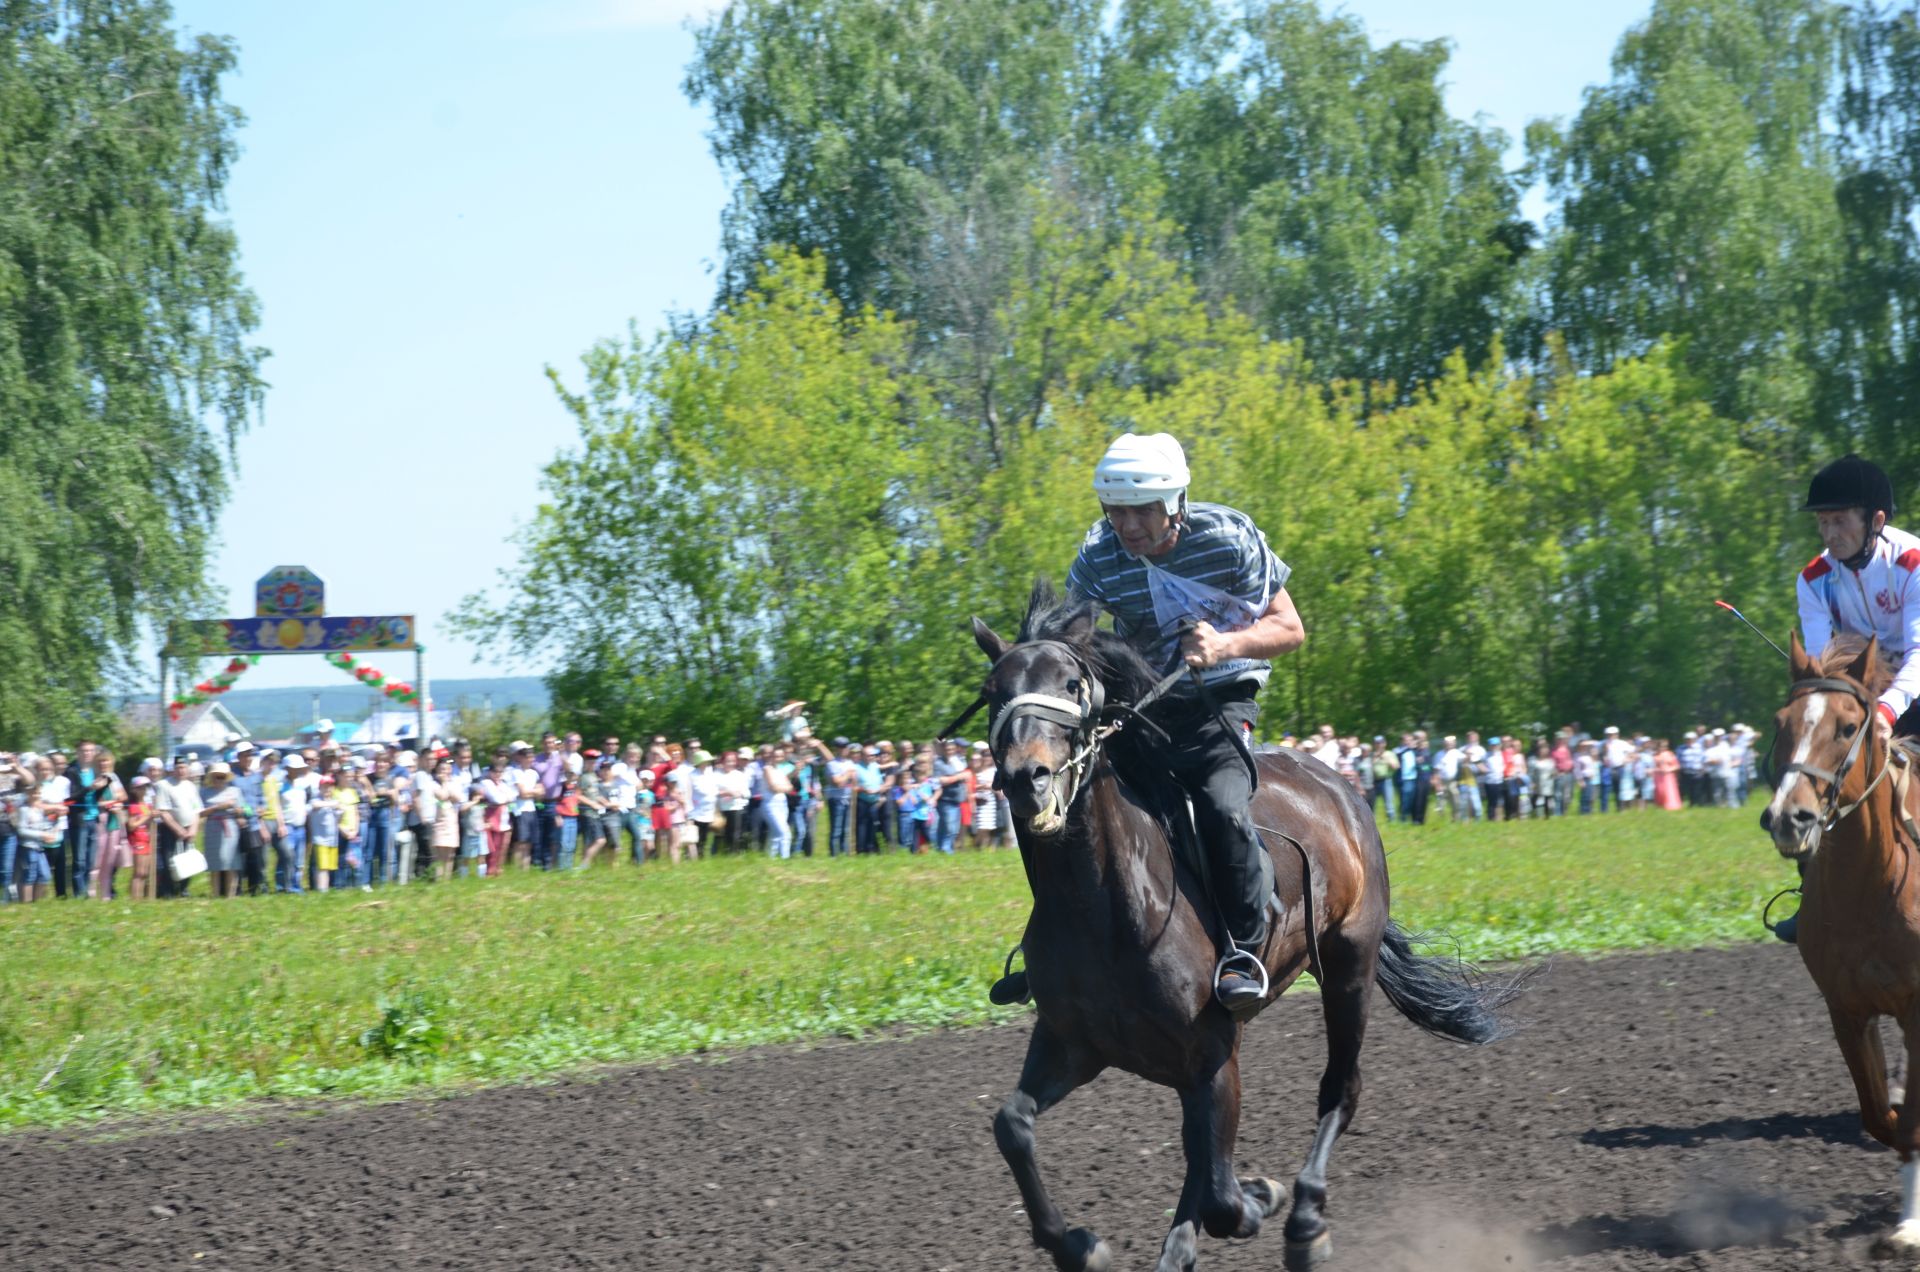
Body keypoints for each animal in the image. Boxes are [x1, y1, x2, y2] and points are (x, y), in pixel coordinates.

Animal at [967, 587, 1520, 1272]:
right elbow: (1012, 1125)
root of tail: (1343, 789)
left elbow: (1224, 1197)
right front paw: (1078, 1245)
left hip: (1349, 966)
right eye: (994, 690)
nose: (1027, 778)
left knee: (1339, 1090)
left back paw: (1305, 1219)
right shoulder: (1075, 1043)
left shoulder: (1211, 1055)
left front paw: (1263, 1195)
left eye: (1072, 683)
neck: (1107, 910)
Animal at [1758, 637, 1920, 1268]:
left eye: (1849, 726)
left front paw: (1909, 1228)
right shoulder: (1847, 1010)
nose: (1789, 816)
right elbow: (1882, 1117)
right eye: (1780, 723)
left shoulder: (1918, 1009)